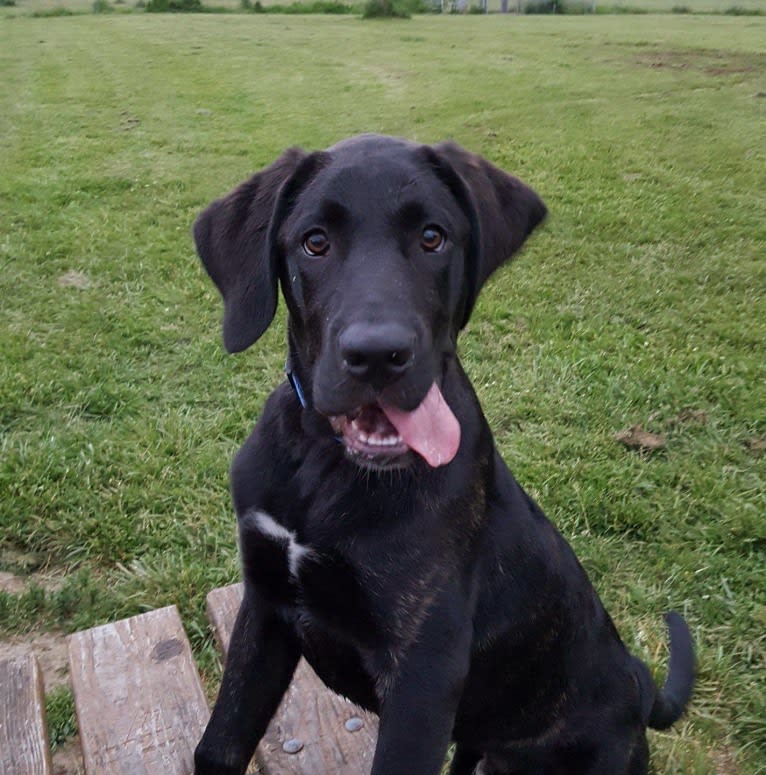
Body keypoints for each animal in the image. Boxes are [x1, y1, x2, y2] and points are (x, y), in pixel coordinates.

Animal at [192, 135, 696, 775]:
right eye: (315, 241)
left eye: (432, 237)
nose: (377, 355)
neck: (326, 466)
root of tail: (639, 686)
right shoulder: (265, 607)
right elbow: (219, 744)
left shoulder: (424, 676)